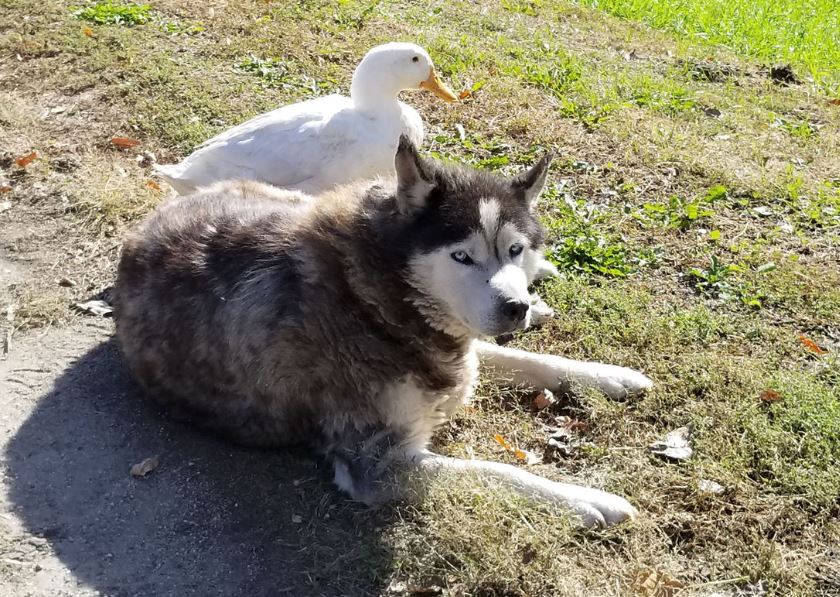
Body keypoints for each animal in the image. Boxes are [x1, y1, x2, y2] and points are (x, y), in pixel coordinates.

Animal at [113, 136, 648, 528]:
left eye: (515, 251)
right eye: (461, 256)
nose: (514, 307)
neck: (377, 295)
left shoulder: (457, 352)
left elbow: (531, 360)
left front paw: (611, 376)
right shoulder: (375, 463)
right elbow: (495, 472)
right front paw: (583, 499)